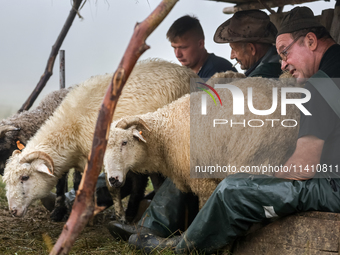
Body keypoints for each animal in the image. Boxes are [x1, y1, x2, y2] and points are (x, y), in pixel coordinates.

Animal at [2, 58, 198, 219]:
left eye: (25, 177)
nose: (13, 211)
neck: (71, 126)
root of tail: (189, 73)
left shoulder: (106, 157)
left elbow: (112, 187)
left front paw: (119, 216)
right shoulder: (84, 161)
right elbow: (79, 185)